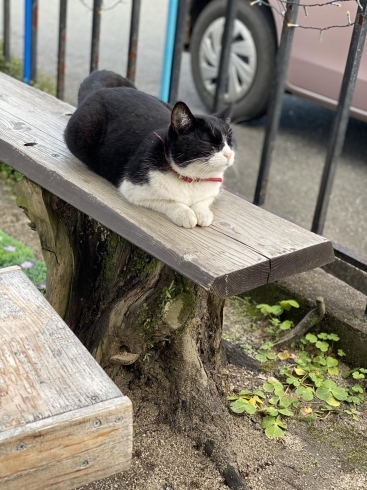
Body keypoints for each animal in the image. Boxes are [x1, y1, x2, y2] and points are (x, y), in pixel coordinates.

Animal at [64, 70, 234, 229]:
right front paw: (184, 213)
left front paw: (203, 212)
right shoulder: (132, 188)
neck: (191, 181)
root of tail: (100, 91)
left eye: (230, 141)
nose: (229, 154)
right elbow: (167, 201)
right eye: (208, 141)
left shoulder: (213, 191)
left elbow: (205, 200)